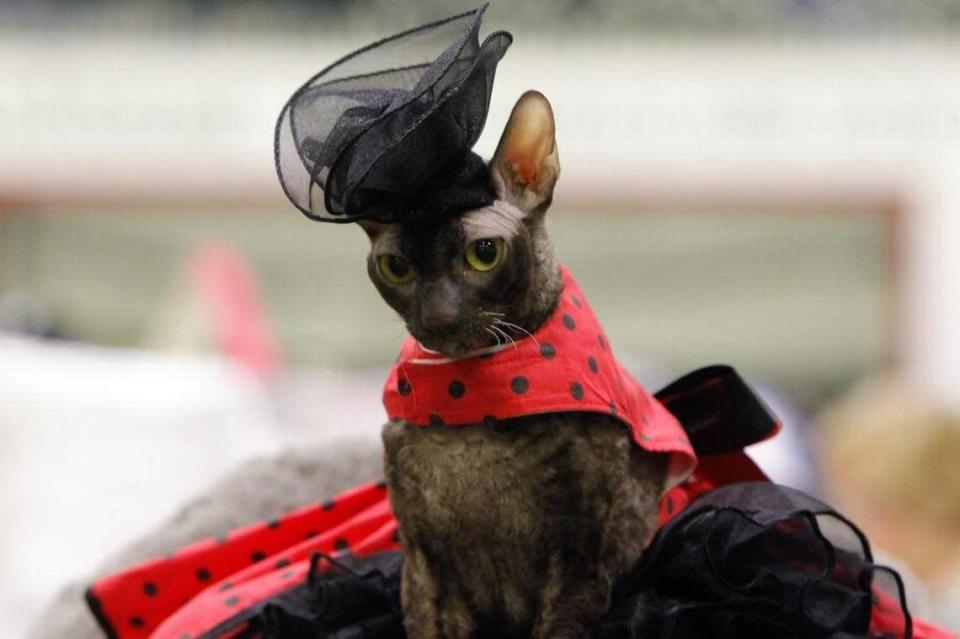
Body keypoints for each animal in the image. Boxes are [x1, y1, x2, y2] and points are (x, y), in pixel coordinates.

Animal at [362, 91, 668, 639]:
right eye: (395, 267)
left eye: (484, 252)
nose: (437, 316)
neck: (467, 403)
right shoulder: (422, 560)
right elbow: (428, 622)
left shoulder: (579, 555)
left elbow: (561, 623)